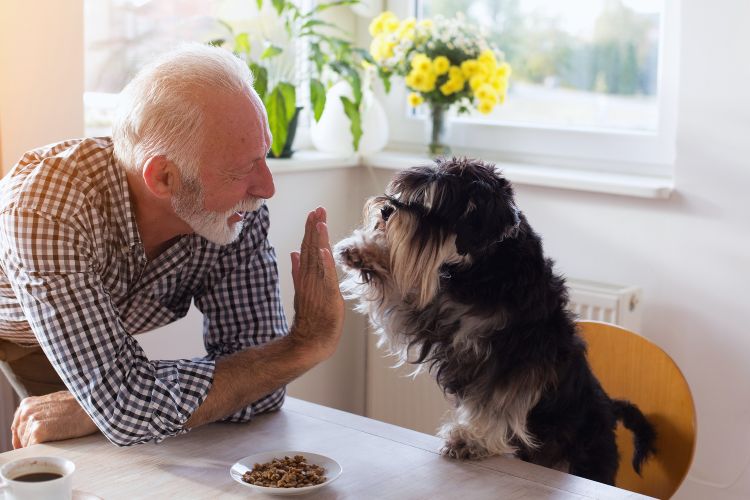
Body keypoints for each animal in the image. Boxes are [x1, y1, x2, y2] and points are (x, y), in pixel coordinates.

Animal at [336, 157, 656, 484]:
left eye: (434, 204)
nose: (386, 210)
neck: (485, 269)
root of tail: (609, 408)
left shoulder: (515, 360)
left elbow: (497, 405)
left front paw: (470, 440)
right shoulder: (432, 316)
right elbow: (400, 294)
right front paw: (364, 251)